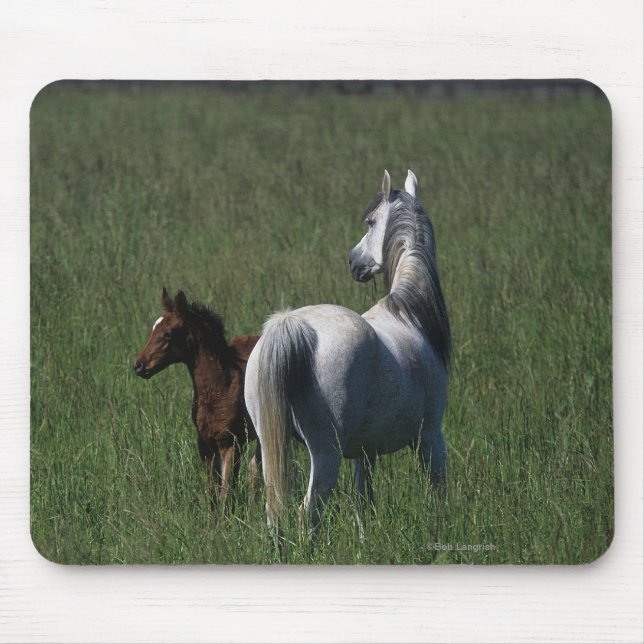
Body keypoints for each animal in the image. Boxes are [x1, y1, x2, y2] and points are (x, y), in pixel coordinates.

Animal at [133, 288, 261, 508]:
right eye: (153, 329)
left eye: (168, 333)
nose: (138, 365)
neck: (221, 387)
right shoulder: (205, 445)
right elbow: (213, 496)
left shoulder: (232, 443)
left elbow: (226, 494)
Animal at [244, 169, 451, 540]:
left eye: (370, 222)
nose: (353, 261)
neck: (408, 314)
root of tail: (291, 325)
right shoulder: (431, 438)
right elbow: (438, 493)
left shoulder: (364, 452)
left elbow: (363, 504)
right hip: (326, 454)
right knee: (307, 514)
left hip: (271, 446)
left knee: (275, 514)